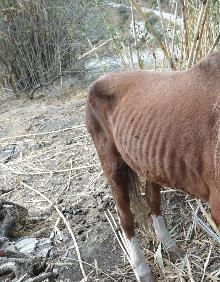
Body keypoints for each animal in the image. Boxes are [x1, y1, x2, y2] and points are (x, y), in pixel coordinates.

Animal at [85, 51, 220, 280]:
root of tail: (96, 82)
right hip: (112, 165)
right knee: (125, 216)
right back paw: (142, 270)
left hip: (150, 161)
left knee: (152, 201)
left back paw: (170, 247)